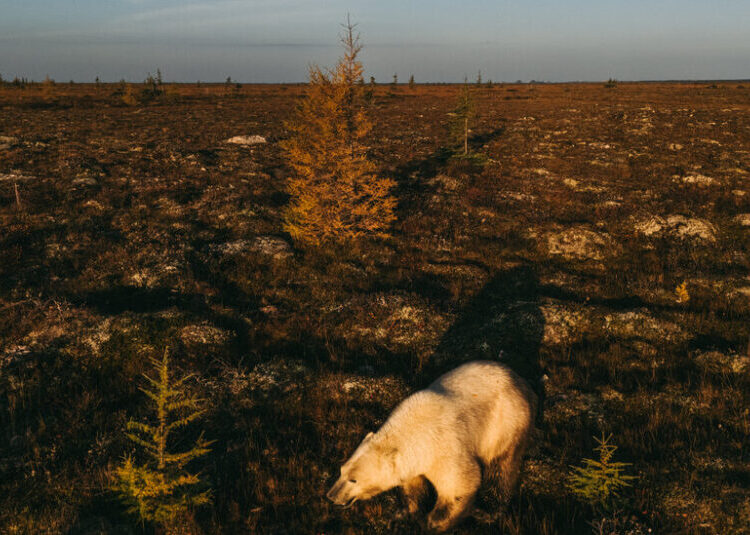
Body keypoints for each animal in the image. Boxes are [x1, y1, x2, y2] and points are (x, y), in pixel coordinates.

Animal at [327, 360, 537, 532]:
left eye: (354, 480)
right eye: (341, 470)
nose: (331, 496)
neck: (414, 429)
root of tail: (521, 382)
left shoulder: (446, 447)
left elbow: (461, 484)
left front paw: (433, 521)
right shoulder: (413, 461)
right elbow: (413, 485)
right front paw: (403, 513)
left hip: (505, 424)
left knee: (502, 468)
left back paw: (488, 511)